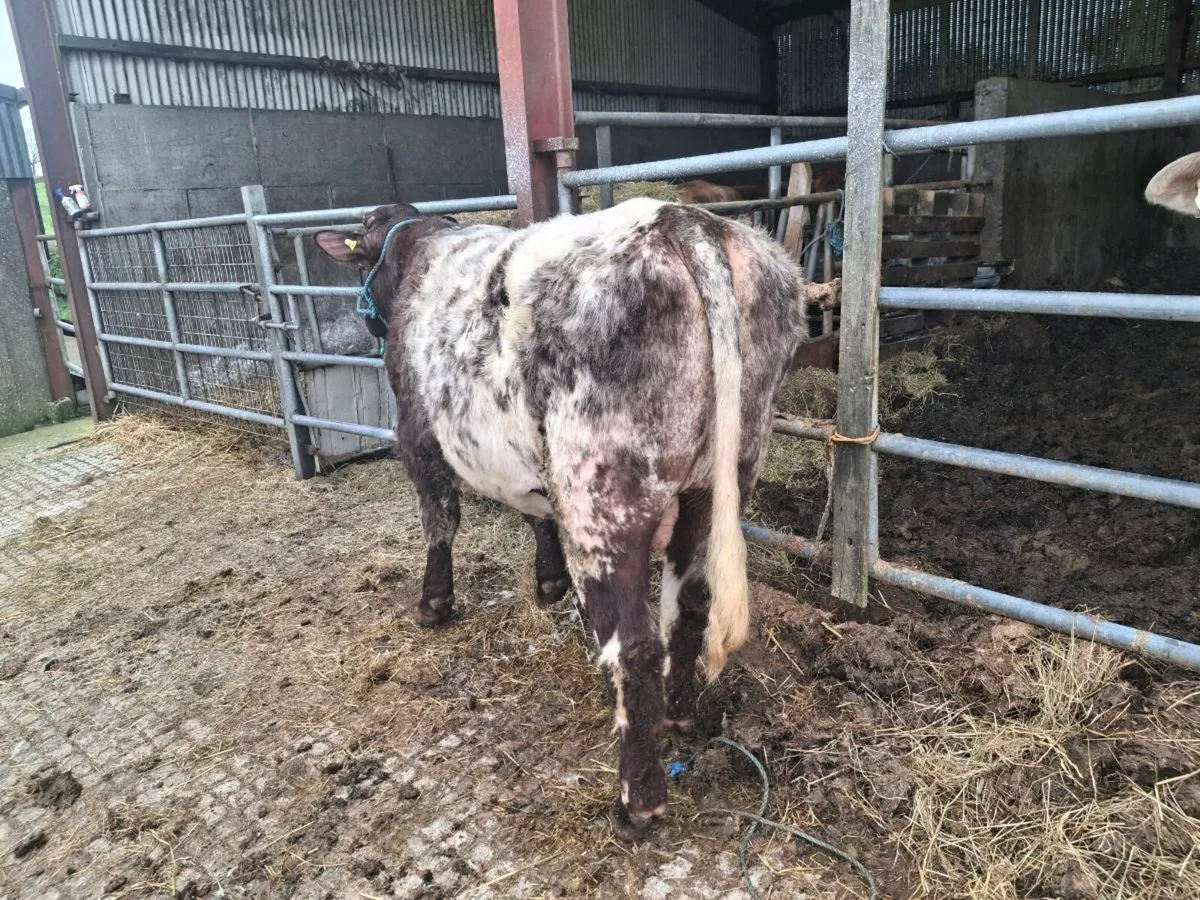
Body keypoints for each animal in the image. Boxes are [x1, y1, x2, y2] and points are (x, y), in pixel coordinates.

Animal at [313, 198, 807, 839]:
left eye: (360, 259)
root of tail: (677, 219)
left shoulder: (417, 434)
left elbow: (440, 520)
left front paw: (433, 603)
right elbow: (534, 513)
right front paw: (549, 582)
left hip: (599, 488)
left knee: (635, 644)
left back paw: (636, 801)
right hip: (722, 476)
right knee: (689, 607)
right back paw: (676, 717)